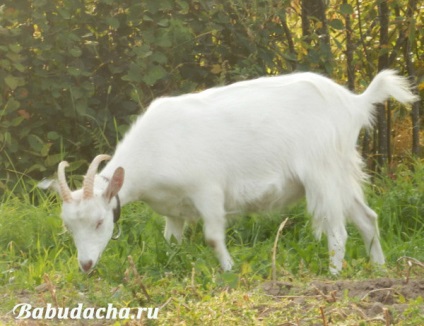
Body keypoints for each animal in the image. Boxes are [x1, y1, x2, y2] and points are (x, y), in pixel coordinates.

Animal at [42, 70, 418, 274]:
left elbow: (212, 236)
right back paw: (380, 269)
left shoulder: (207, 190)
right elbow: (171, 242)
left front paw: (229, 271)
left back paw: (334, 274)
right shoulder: (173, 210)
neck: (155, 147)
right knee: (367, 218)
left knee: (337, 231)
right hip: (340, 173)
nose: (86, 265)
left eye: (100, 222)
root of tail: (354, 103)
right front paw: (172, 267)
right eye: (69, 227)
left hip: (322, 173)